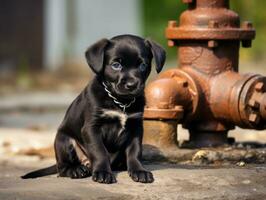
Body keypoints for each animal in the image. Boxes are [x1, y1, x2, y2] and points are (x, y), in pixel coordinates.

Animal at [21, 34, 165, 183]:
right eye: (116, 65)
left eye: (143, 65)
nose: (132, 85)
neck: (121, 102)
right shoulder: (91, 128)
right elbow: (99, 151)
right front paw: (103, 172)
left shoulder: (135, 128)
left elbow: (134, 151)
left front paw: (139, 170)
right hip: (63, 140)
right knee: (62, 169)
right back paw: (76, 170)